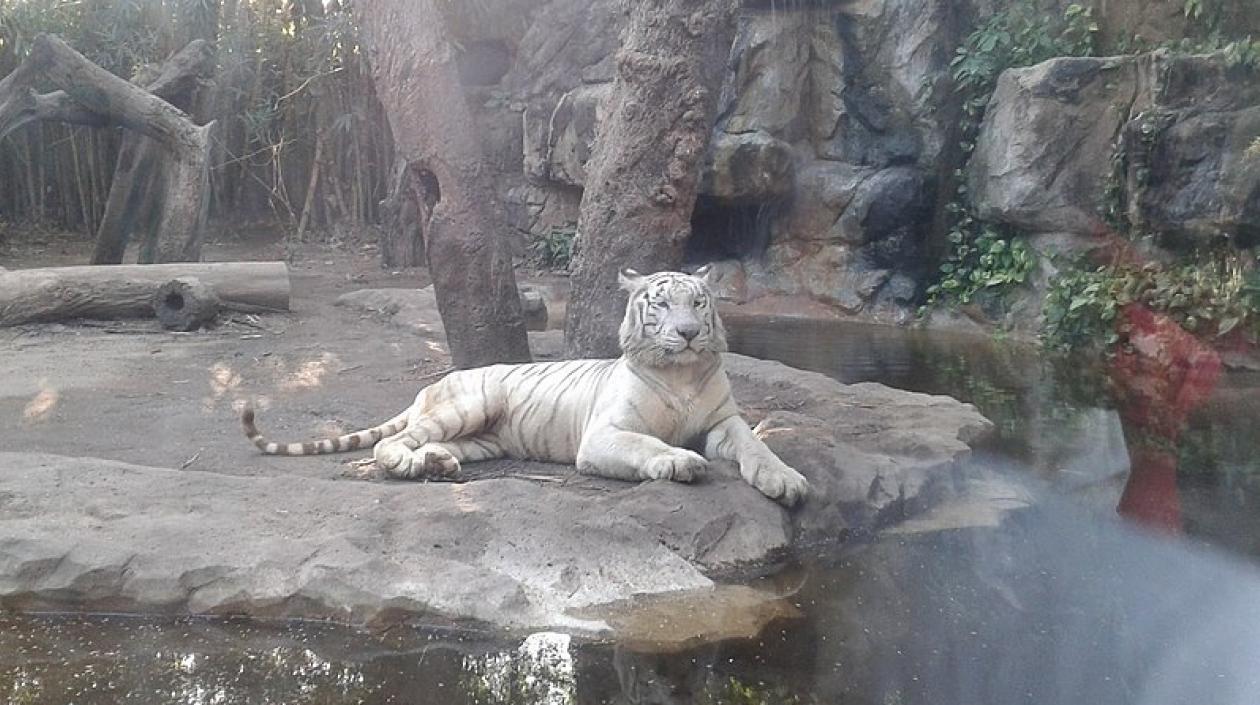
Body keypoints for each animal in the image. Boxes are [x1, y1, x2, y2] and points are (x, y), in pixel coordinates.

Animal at [241, 266, 811, 503]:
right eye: (662, 304)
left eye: (698, 302)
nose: (690, 333)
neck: (682, 372)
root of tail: (430, 385)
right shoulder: (603, 435)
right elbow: (646, 444)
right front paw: (679, 462)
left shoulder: (724, 421)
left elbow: (756, 446)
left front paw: (786, 481)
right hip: (469, 404)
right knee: (390, 443)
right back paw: (409, 464)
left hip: (482, 439)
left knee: (435, 446)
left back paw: (438, 464)